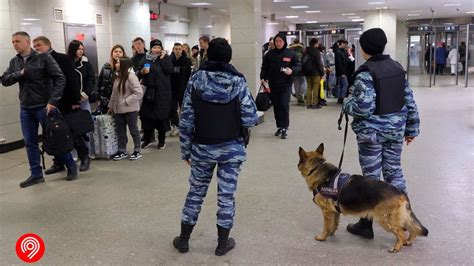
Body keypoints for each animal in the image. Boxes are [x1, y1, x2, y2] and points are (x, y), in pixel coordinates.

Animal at [298, 143, 428, 254]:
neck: (317, 167)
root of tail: (400, 192)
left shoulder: (326, 212)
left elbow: (326, 226)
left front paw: (322, 237)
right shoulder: (334, 211)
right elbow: (334, 224)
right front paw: (331, 233)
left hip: (385, 219)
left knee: (401, 233)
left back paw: (396, 247)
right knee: (412, 229)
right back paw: (408, 241)